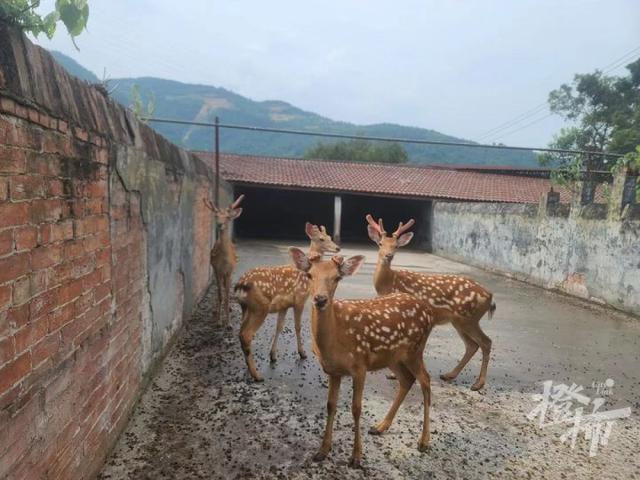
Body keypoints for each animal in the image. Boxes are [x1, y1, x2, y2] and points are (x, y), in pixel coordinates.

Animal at [202, 195, 245, 326]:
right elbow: (220, 294)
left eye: (227, 216)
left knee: (226, 288)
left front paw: (229, 323)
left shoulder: (229, 271)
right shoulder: (217, 269)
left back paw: (228, 308)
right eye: (216, 216)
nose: (219, 224)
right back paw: (216, 310)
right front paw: (219, 321)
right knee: (219, 289)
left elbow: (226, 296)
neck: (224, 262)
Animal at [234, 222, 340, 382]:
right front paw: (302, 353)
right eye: (321, 239)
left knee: (241, 333)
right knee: (246, 334)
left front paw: (272, 356)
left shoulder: (284, 305)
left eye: (329, 237)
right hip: (260, 307)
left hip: (245, 308)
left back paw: (249, 368)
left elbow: (279, 327)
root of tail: (241, 284)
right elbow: (298, 327)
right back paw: (257, 375)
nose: (337, 248)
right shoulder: (300, 300)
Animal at [288, 249, 436, 466]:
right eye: (309, 275)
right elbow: (330, 405)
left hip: (415, 349)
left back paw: (424, 441)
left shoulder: (360, 366)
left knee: (425, 380)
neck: (335, 337)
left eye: (337, 277)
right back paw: (380, 426)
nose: (320, 299)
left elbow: (356, 408)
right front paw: (322, 451)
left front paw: (356, 457)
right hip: (393, 357)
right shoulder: (334, 371)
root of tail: (428, 310)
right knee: (407, 379)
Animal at [364, 214, 496, 390]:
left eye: (396, 246)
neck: (389, 283)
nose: (388, 256)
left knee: (485, 342)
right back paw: (449, 375)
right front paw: (393, 374)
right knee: (472, 345)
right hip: (460, 321)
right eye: (380, 243)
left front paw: (393, 374)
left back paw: (478, 383)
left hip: (469, 318)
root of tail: (490, 296)